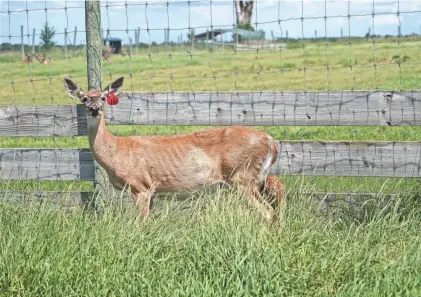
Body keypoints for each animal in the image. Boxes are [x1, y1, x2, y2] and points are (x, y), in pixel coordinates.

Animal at [64, 77, 284, 221]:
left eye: (103, 97)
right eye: (84, 98)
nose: (94, 109)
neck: (116, 152)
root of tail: (271, 141)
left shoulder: (140, 185)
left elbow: (140, 224)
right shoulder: (151, 191)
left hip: (243, 176)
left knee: (267, 212)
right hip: (255, 179)